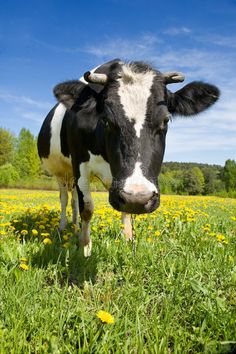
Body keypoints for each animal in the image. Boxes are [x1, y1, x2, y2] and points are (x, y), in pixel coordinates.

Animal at [37, 59, 220, 256]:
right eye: (106, 120)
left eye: (165, 120)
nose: (138, 198)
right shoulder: (80, 165)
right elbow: (87, 208)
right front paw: (85, 248)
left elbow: (125, 211)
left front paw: (127, 239)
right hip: (61, 173)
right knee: (65, 199)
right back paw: (64, 227)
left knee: (73, 201)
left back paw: (75, 226)